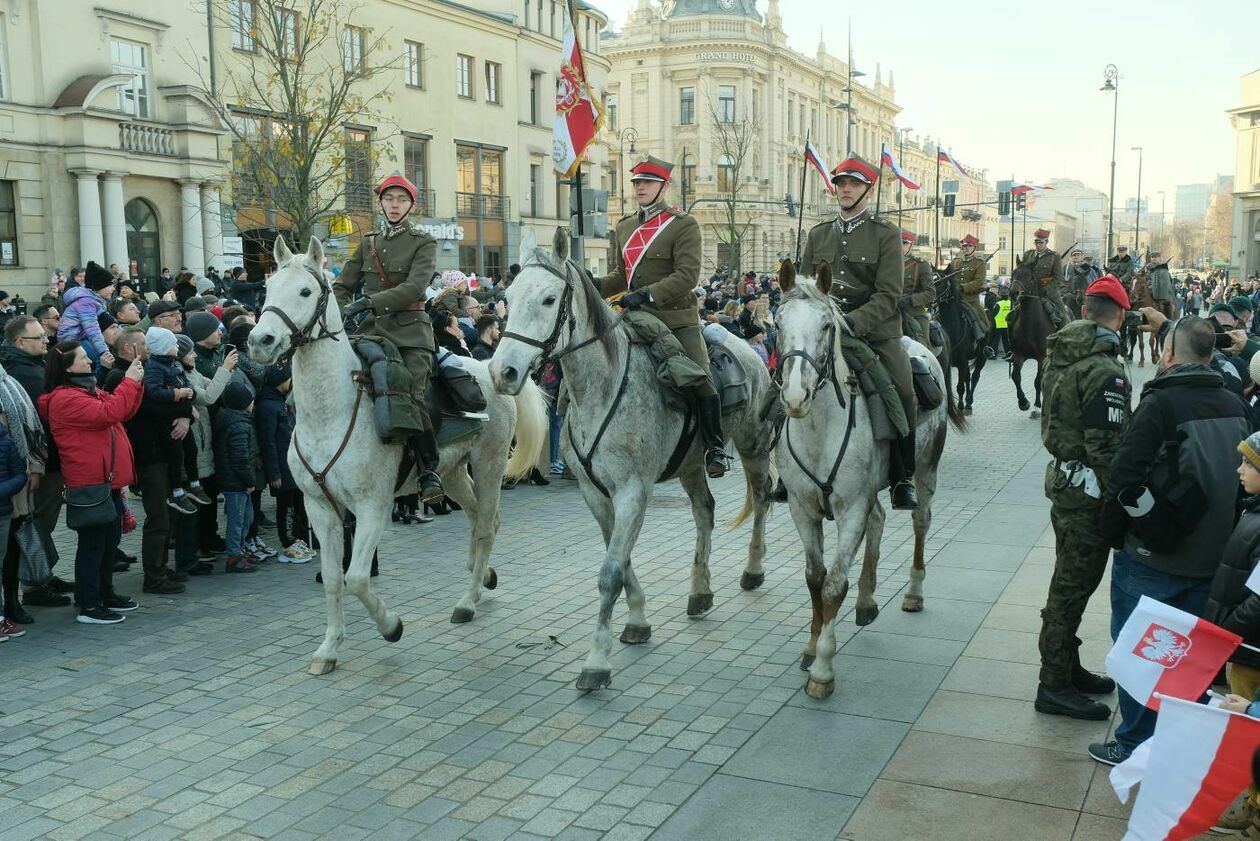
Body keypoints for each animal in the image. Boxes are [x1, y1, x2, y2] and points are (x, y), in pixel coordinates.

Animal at [246, 237, 546, 675]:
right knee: (478, 519)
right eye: (267, 289)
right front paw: (329, 648)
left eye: (304, 291)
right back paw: (481, 576)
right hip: (452, 473)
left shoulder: (372, 506)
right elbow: (333, 579)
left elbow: (356, 578)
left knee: (487, 525)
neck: (331, 412)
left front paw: (391, 626)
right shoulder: (319, 506)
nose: (259, 342)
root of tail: (490, 366)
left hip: (488, 465)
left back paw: (468, 601)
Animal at [483, 228, 771, 690]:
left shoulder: (633, 491)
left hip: (753, 444)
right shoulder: (595, 492)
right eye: (507, 294)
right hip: (691, 464)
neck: (600, 389)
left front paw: (597, 661)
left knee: (760, 500)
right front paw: (637, 620)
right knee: (704, 512)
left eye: (548, 299)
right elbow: (620, 559)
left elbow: (610, 572)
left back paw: (754, 569)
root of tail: (744, 346)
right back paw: (700, 590)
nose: (502, 372)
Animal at [771, 259, 957, 701]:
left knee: (920, 521)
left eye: (827, 325)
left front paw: (823, 669)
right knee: (879, 519)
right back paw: (868, 601)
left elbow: (834, 584)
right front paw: (810, 645)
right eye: (778, 323)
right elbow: (814, 578)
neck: (819, 429)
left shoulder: (849, 508)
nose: (795, 396)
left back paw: (913, 592)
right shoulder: (803, 509)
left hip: (925, 472)